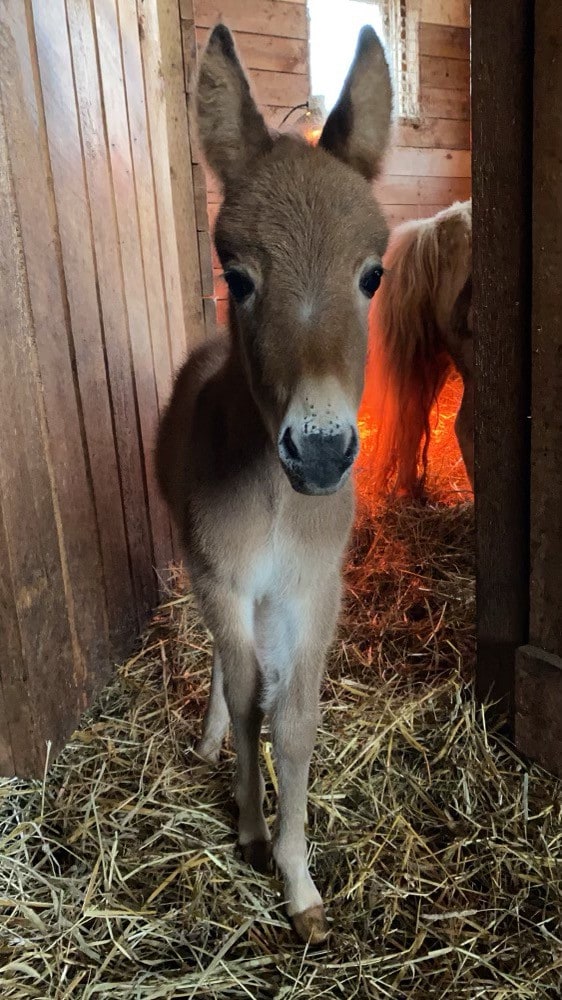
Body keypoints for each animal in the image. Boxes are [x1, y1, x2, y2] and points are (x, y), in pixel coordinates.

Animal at [155, 23, 392, 944]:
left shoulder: (310, 589)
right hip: (206, 574)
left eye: (372, 274)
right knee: (232, 674)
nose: (320, 453)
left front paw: (300, 884)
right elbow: (251, 694)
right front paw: (253, 830)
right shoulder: (224, 577)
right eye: (237, 274)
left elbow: (293, 720)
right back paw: (208, 743)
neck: (278, 509)